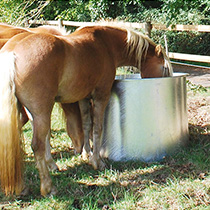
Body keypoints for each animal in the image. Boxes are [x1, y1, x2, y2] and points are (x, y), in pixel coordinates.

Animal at [0, 23, 172, 197]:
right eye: (164, 68)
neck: (106, 44)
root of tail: (12, 52)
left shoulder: (83, 98)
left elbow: (86, 125)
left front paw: (86, 154)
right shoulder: (101, 95)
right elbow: (97, 128)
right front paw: (97, 161)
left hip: (29, 112)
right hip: (41, 112)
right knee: (38, 145)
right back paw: (48, 187)